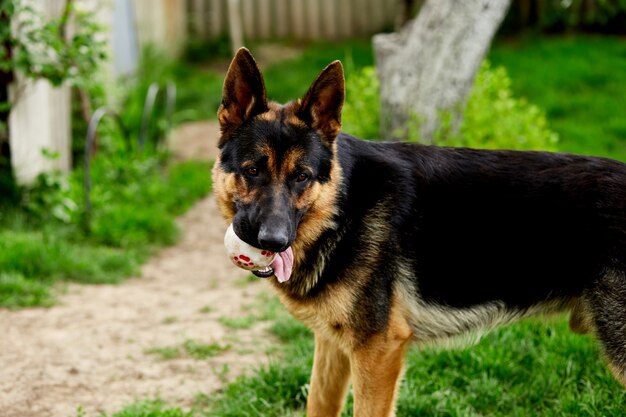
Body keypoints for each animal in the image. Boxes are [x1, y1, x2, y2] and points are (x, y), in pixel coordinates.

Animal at [213, 48, 624, 412]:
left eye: (302, 177)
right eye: (252, 171)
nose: (273, 240)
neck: (344, 208)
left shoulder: (378, 352)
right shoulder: (332, 346)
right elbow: (318, 404)